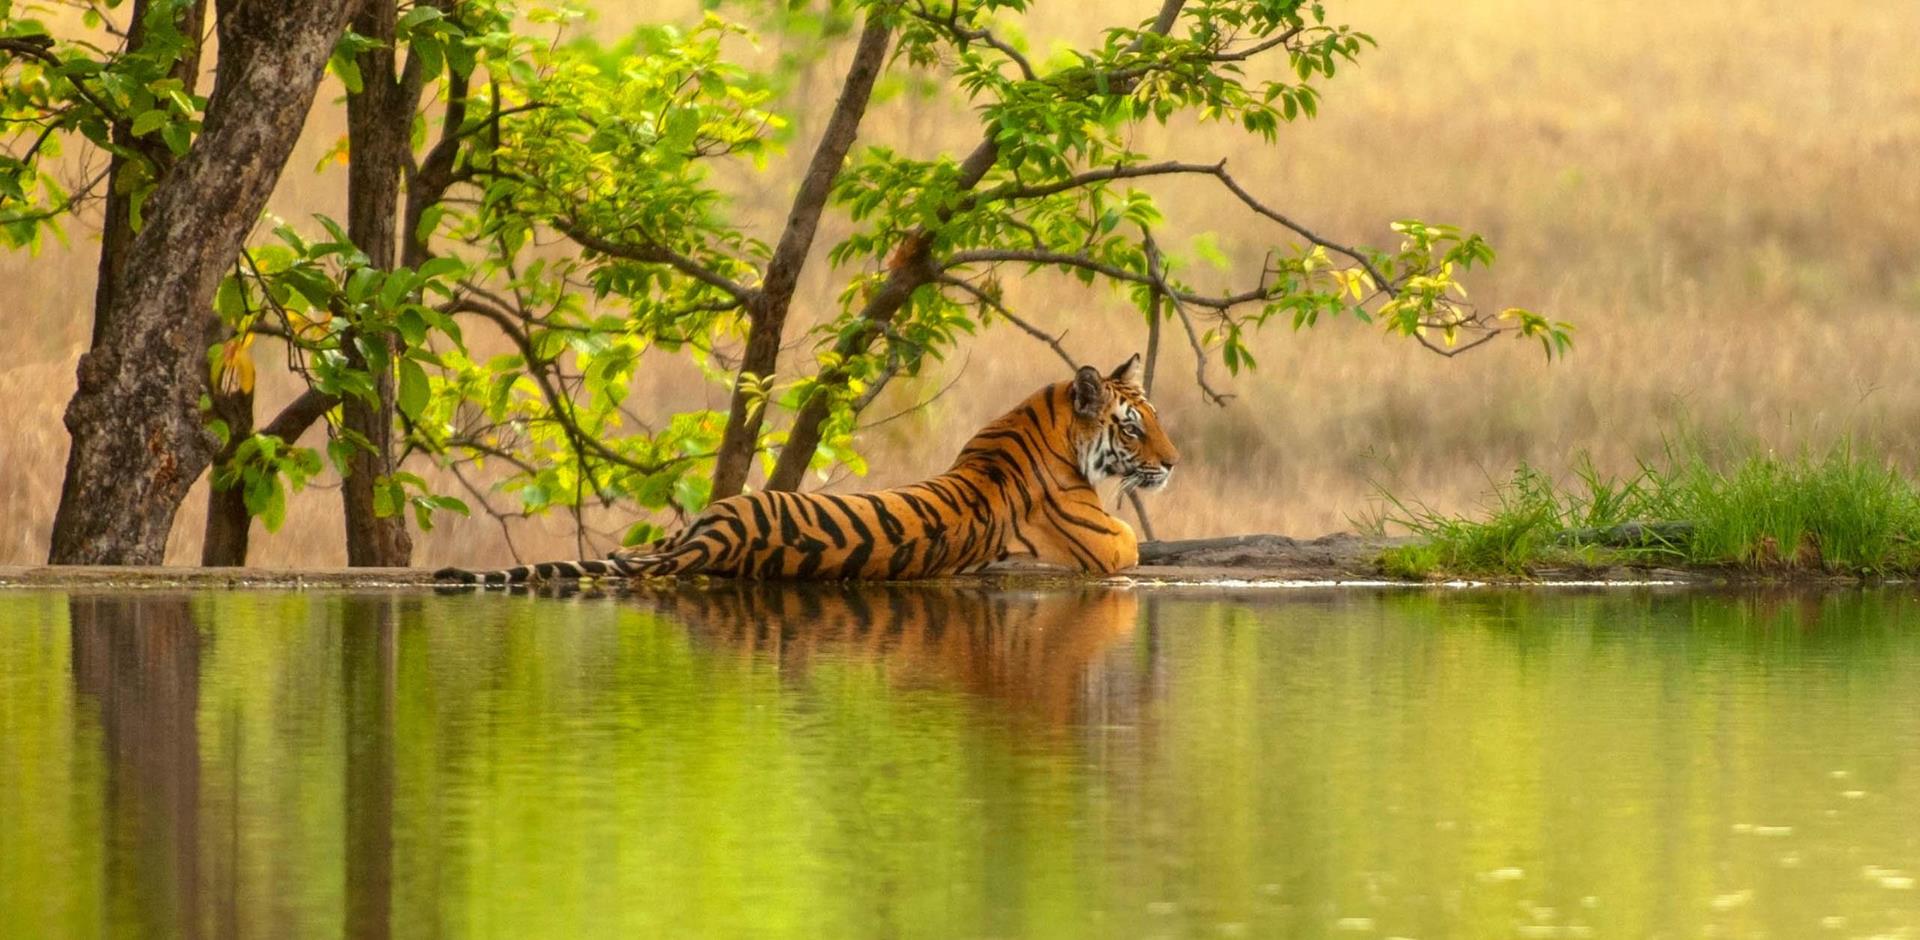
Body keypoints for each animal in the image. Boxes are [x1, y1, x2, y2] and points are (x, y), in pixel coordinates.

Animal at [437, 356, 1175, 583]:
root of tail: (718, 540)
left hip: (695, 523)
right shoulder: (1113, 544)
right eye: (1133, 426)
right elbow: (1138, 543)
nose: (1172, 464)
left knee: (635, 551)